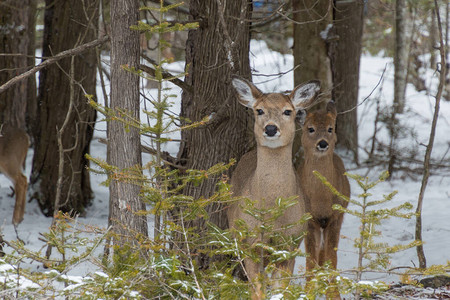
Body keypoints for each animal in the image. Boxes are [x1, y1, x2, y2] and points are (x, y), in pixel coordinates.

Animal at [229, 77, 320, 298]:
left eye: (288, 111)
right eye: (259, 110)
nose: (270, 129)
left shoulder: (289, 243)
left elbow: (281, 289)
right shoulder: (251, 243)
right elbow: (257, 290)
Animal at [298, 101, 352, 276]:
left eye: (330, 128)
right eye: (310, 128)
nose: (322, 143)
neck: (320, 199)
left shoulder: (335, 217)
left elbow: (332, 258)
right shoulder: (309, 219)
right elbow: (310, 260)